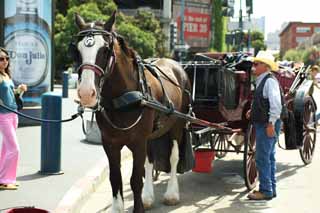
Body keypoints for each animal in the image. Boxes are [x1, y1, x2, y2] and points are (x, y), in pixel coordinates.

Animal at [73, 11, 190, 213]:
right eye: (78, 51)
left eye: (105, 50)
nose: (86, 93)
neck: (122, 98)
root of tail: (176, 65)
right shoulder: (110, 143)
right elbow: (116, 179)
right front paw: (119, 207)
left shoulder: (138, 141)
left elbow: (135, 180)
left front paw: (139, 207)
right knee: (150, 160)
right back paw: (148, 197)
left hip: (177, 125)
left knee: (174, 157)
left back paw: (172, 194)